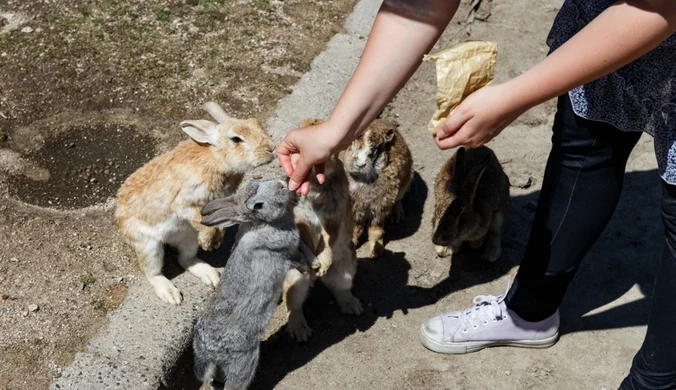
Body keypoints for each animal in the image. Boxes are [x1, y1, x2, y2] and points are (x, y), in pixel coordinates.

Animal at [115, 102, 274, 306]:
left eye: (256, 123)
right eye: (236, 139)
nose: (271, 148)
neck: (216, 158)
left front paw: (216, 241)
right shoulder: (185, 204)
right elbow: (201, 221)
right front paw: (208, 242)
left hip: (188, 237)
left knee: (185, 259)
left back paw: (211, 276)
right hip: (148, 246)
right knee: (153, 272)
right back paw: (171, 295)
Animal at [191, 180, 316, 390]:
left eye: (257, 182)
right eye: (258, 206)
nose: (282, 186)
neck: (265, 225)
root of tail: (208, 350)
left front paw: (314, 263)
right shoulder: (285, 254)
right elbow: (297, 260)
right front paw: (308, 268)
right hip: (244, 362)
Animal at [340, 119, 414, 258]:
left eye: (374, 150)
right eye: (350, 144)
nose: (360, 165)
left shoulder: (380, 207)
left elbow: (376, 229)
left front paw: (376, 251)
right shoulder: (355, 208)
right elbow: (355, 228)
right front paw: (352, 243)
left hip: (404, 184)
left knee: (398, 200)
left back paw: (396, 216)